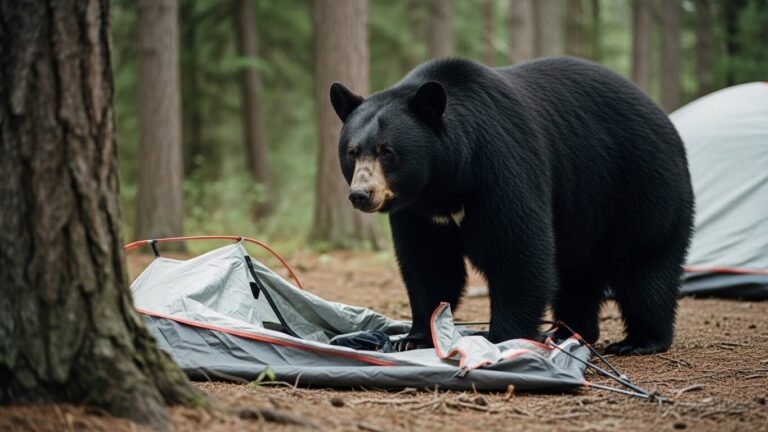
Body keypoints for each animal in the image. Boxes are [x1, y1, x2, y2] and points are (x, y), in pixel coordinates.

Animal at [330, 56, 694, 355]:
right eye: (352, 152)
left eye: (386, 151)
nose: (361, 194)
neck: (444, 182)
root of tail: (662, 115)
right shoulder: (418, 211)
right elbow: (428, 263)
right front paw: (414, 337)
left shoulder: (500, 165)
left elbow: (517, 249)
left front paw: (502, 337)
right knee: (577, 270)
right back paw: (570, 332)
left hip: (640, 183)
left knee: (642, 261)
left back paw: (640, 340)